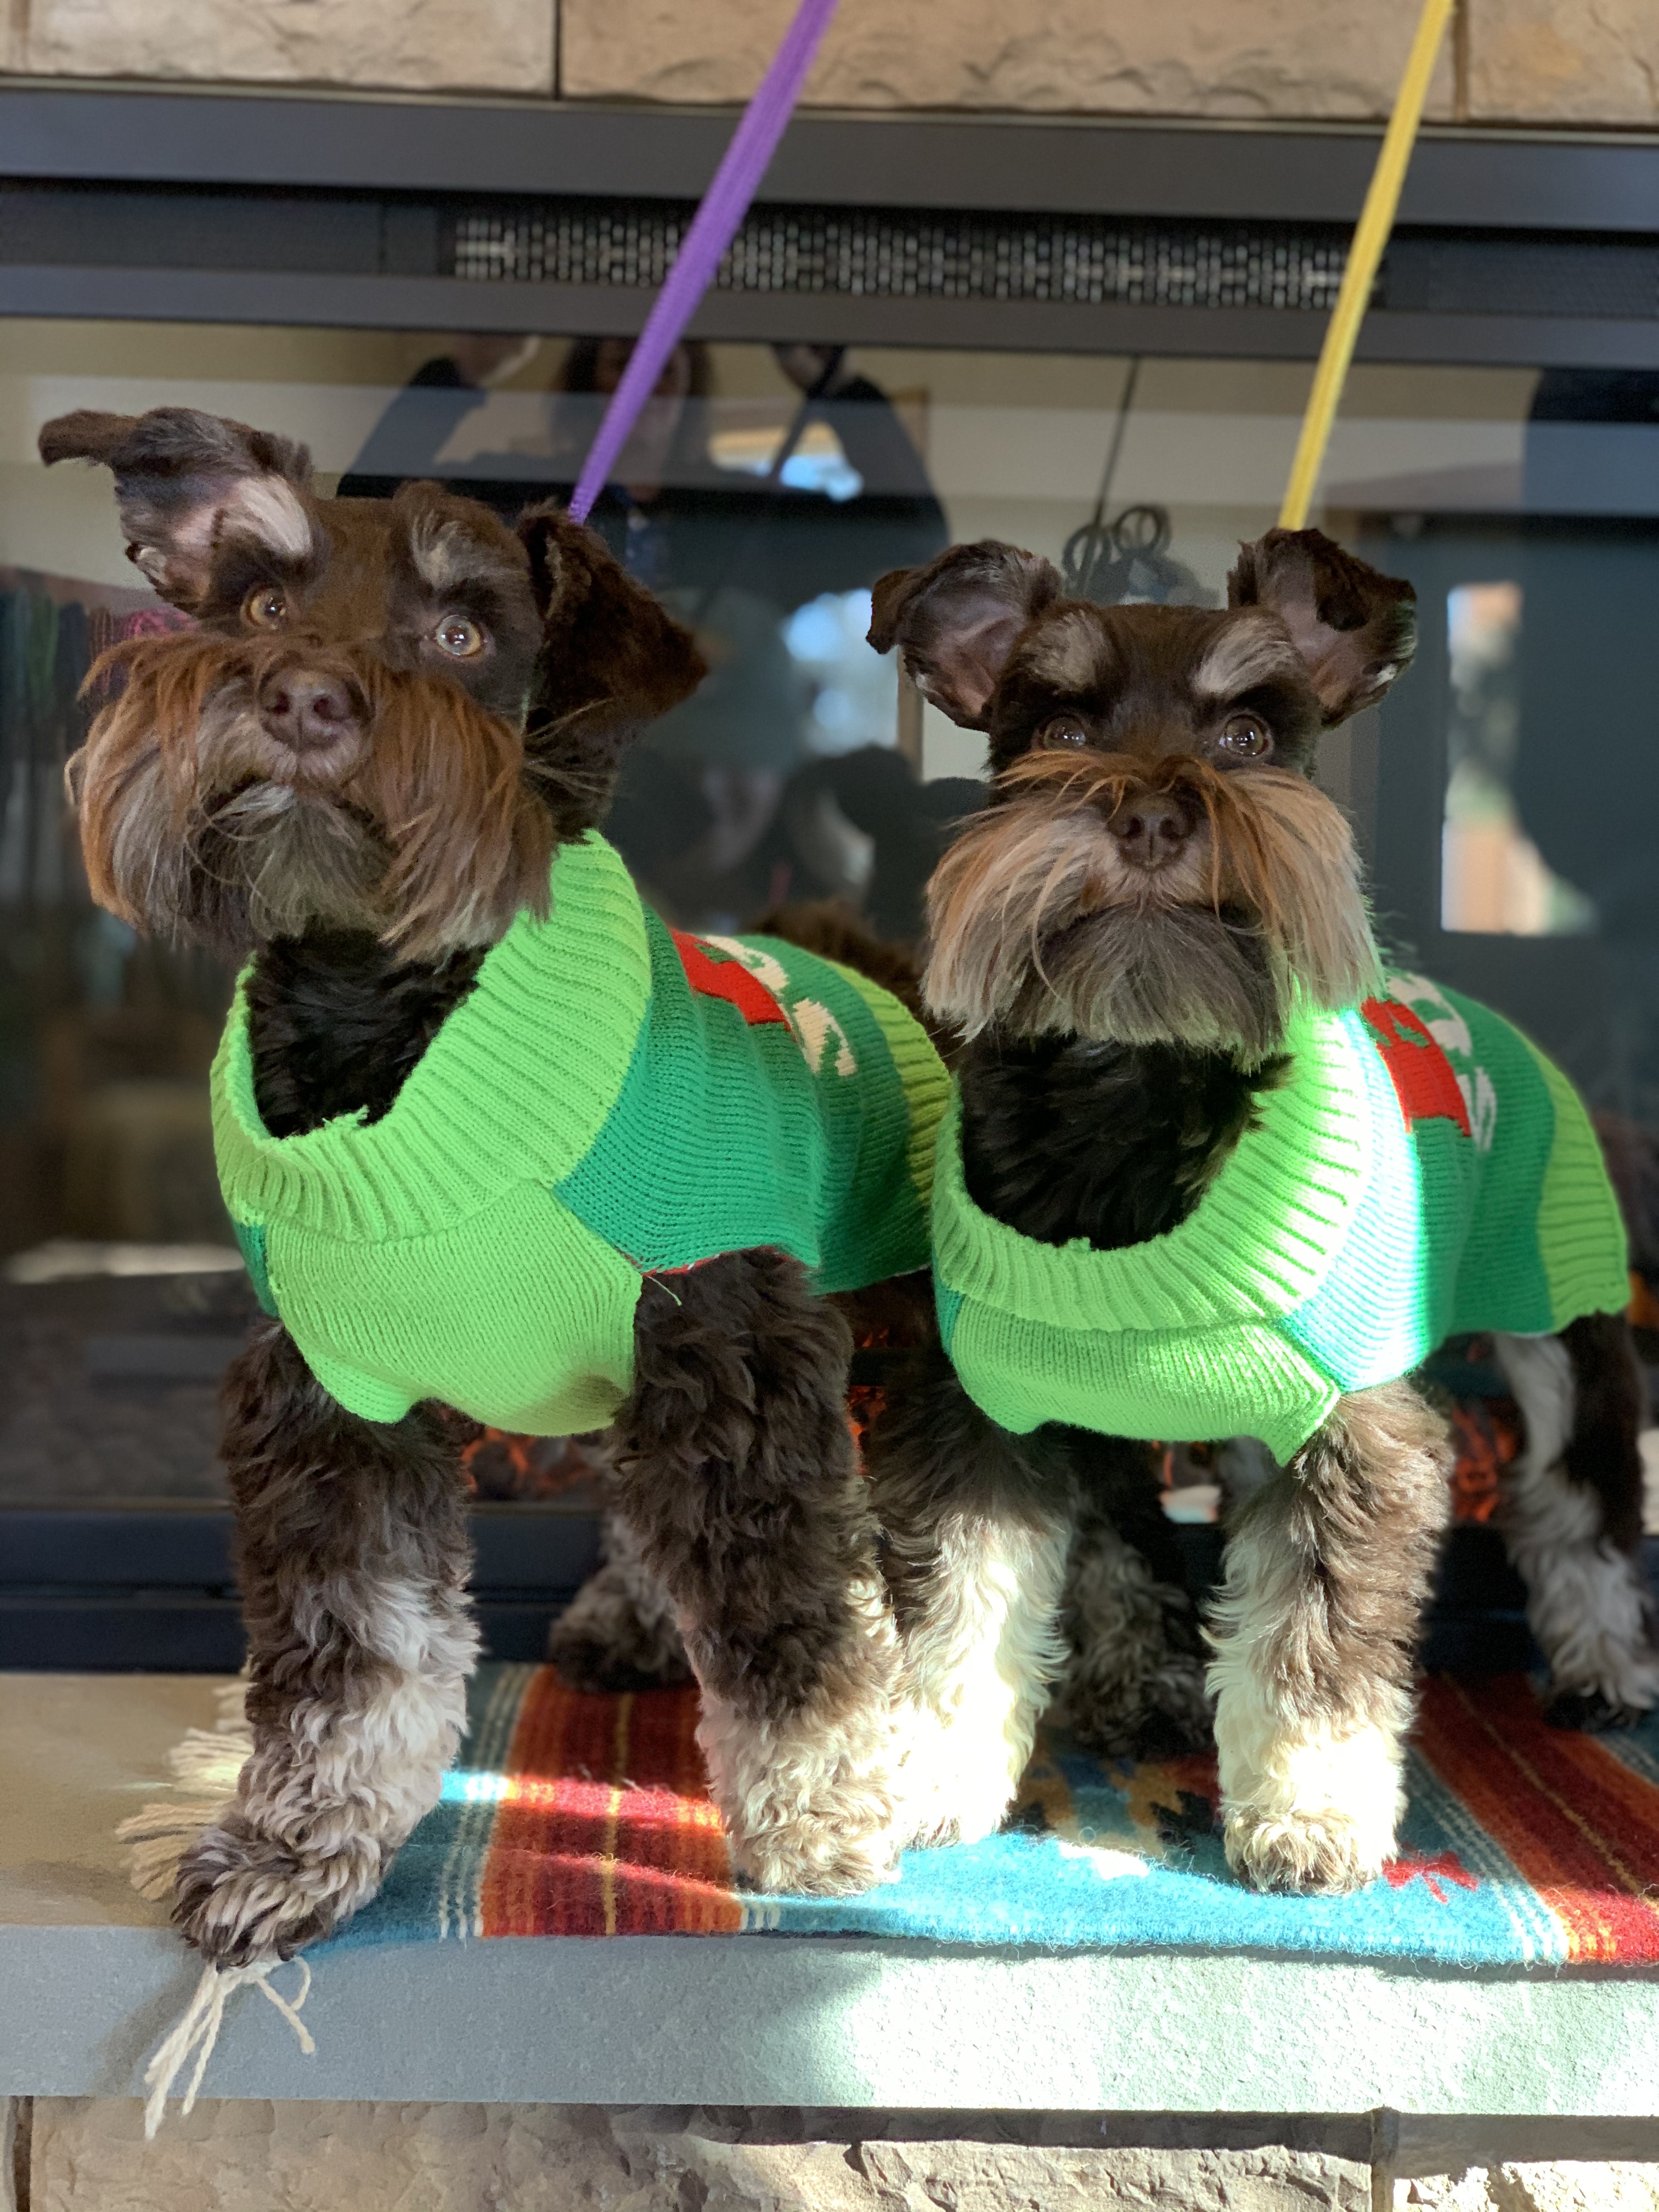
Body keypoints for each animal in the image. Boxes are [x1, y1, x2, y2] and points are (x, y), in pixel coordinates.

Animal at [48, 398, 946, 1955]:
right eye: (264, 603)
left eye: (465, 636)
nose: (302, 698)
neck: (383, 1022)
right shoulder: (332, 1411)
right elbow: (357, 1661)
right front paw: (298, 1850)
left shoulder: (738, 1366)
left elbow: (793, 1625)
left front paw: (822, 1822)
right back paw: (633, 1621)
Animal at [862, 526, 1654, 1893]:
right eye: (1056, 725)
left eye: (1246, 734)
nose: (1150, 810)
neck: (1136, 1098)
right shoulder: (980, 1419)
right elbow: (967, 1611)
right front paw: (943, 1778)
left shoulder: (1357, 1438)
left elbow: (1316, 1639)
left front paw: (1311, 1812)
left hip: (1563, 1324)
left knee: (1579, 1504)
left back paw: (1603, 1663)